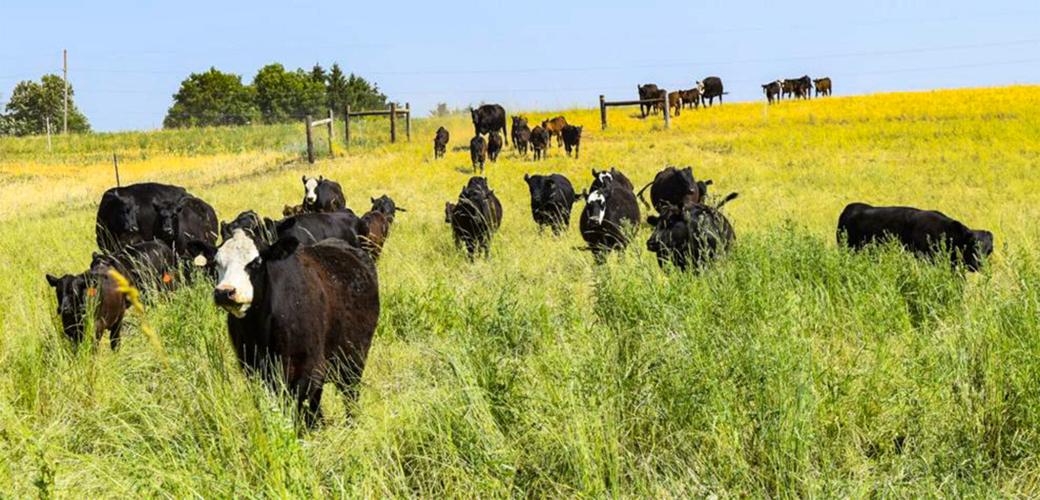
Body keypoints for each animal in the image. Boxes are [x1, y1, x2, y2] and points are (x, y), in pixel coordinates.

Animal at [187, 232, 379, 426]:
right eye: (216, 262)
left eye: (256, 262)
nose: (224, 292)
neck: (261, 331)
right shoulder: (253, 369)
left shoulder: (307, 369)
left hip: (353, 360)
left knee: (349, 395)